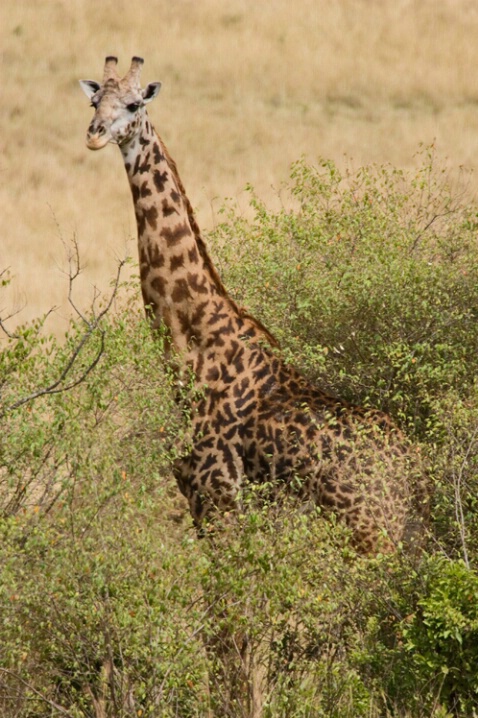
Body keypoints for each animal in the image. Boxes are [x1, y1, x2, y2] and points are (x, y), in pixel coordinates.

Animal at [80, 57, 428, 556]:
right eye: (94, 101)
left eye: (133, 104)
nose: (94, 134)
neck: (192, 347)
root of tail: (415, 469)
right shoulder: (198, 498)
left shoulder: (218, 494)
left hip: (372, 530)